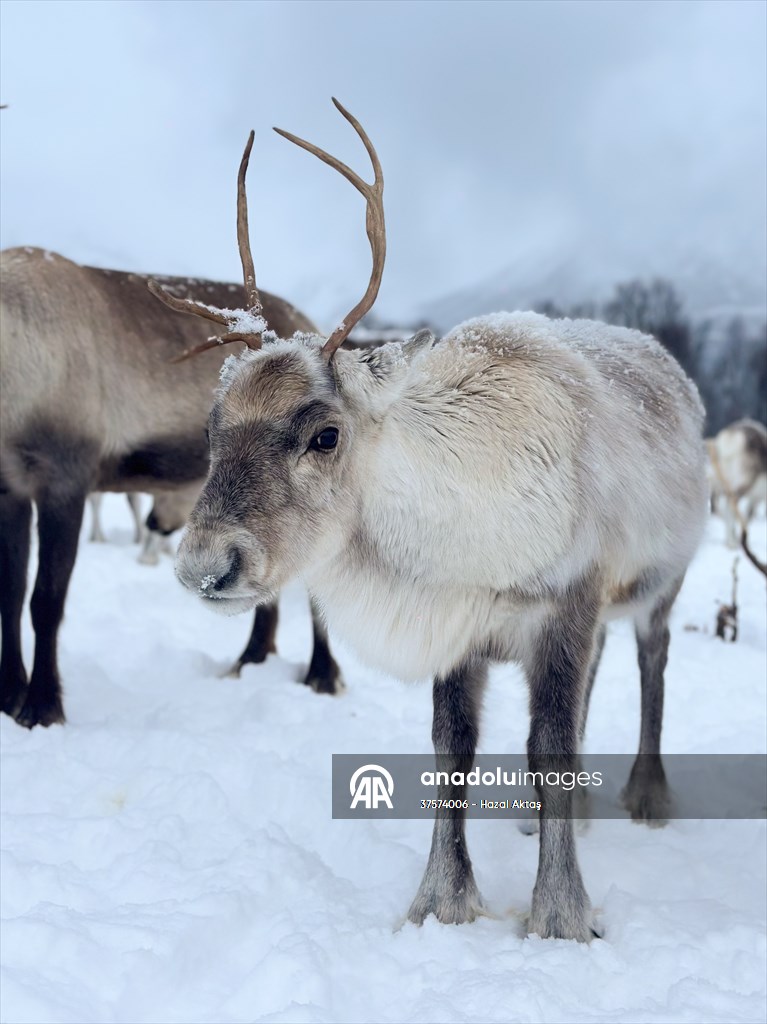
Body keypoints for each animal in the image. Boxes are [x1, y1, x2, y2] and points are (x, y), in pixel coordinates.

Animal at [0, 242, 343, 729]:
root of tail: (309, 321)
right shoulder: (9, 488)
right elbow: (10, 596)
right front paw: (9, 697)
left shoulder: (64, 477)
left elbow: (45, 601)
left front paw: (43, 707)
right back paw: (250, 660)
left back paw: (322, 675)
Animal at [152, 99, 709, 941]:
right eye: (212, 427)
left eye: (325, 434)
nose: (205, 564)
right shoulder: (459, 626)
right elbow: (454, 747)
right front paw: (440, 902)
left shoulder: (568, 603)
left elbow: (547, 746)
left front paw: (561, 915)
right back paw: (565, 814)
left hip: (662, 583)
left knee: (651, 660)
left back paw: (645, 796)